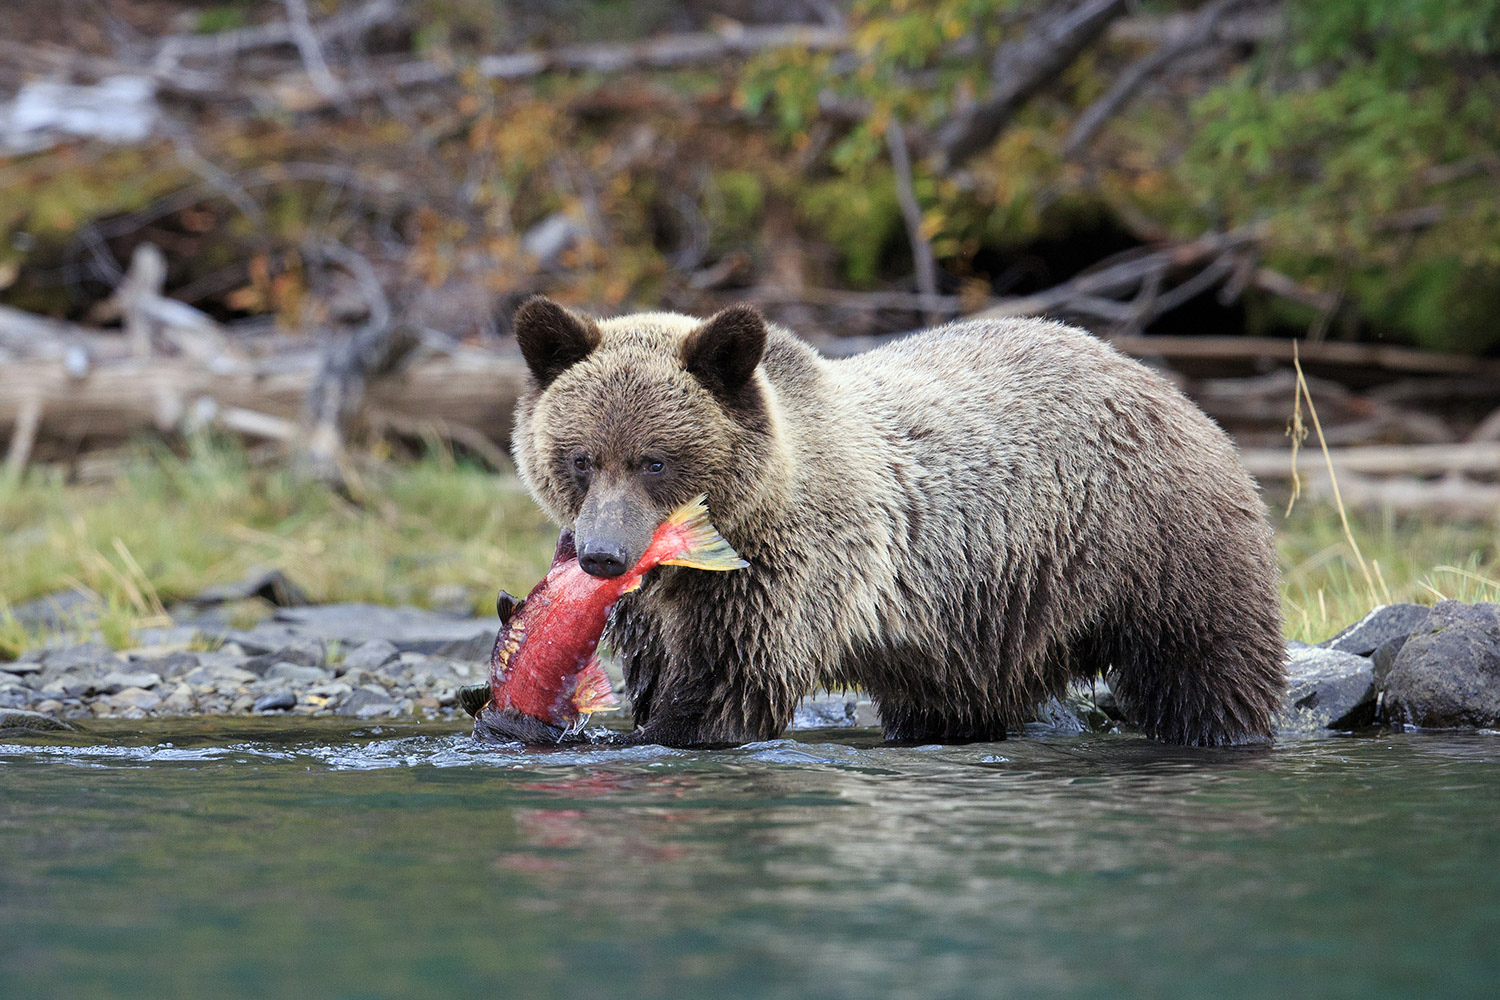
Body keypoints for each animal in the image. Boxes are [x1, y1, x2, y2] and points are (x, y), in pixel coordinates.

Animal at [486, 301, 1284, 746]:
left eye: (654, 460)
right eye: (582, 457)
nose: (601, 556)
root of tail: (1166, 386)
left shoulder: (789, 570)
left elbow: (725, 687)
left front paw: (666, 731)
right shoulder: (661, 605)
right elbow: (656, 669)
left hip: (1157, 547)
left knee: (1207, 666)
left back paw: (1224, 734)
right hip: (981, 622)